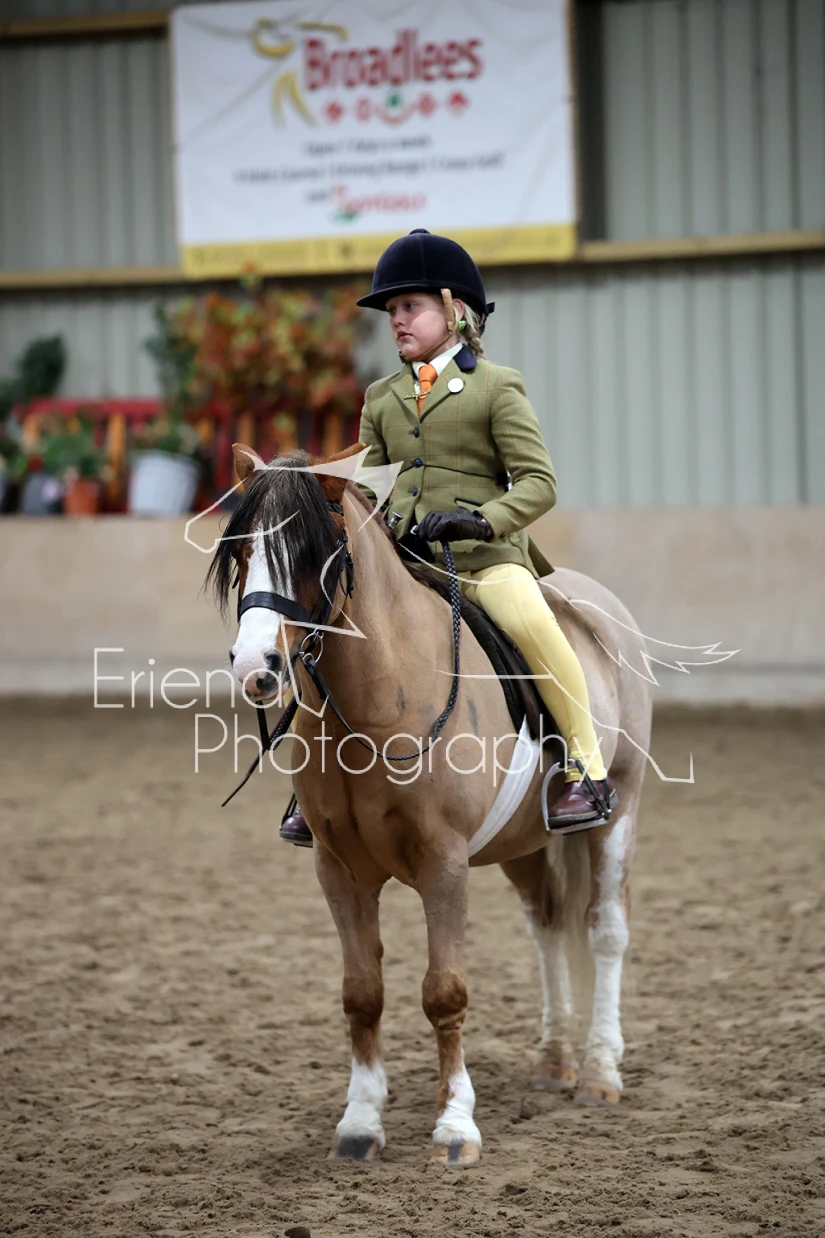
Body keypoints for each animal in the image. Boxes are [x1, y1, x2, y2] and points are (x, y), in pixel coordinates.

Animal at [207, 441, 652, 1168]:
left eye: (309, 553)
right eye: (242, 552)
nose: (255, 668)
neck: (379, 695)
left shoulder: (444, 863)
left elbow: (444, 992)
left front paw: (455, 1128)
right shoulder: (338, 870)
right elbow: (361, 995)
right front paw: (360, 1125)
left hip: (620, 808)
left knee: (604, 928)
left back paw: (598, 1075)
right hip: (522, 842)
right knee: (549, 926)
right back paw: (553, 1062)